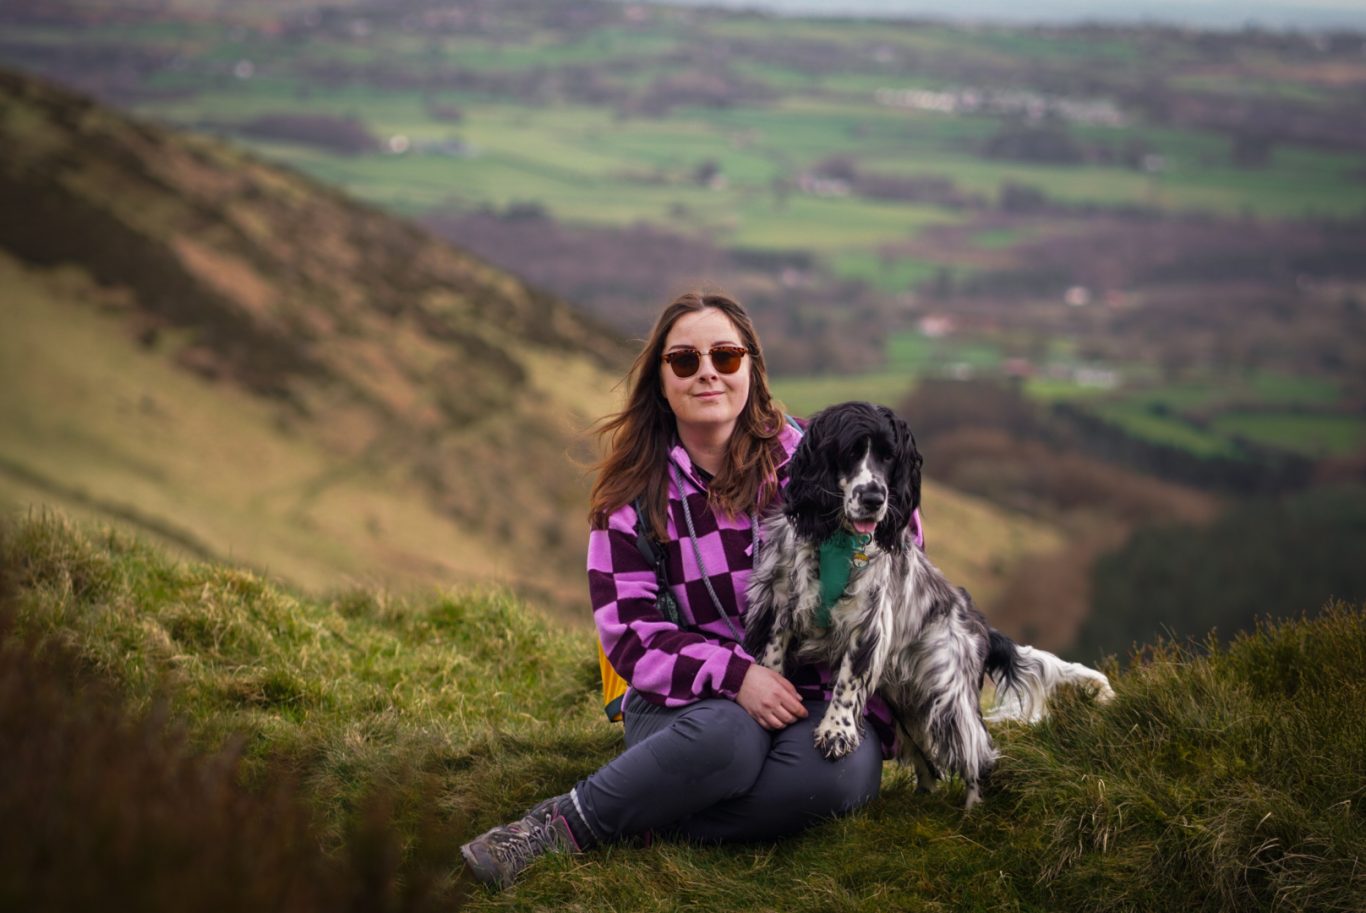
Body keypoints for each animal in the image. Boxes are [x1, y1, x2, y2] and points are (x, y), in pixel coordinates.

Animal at [745, 401, 1114, 807]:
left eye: (889, 457)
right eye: (850, 452)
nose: (874, 498)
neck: (837, 540)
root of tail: (980, 626)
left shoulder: (868, 625)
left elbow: (846, 684)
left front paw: (835, 732)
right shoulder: (783, 599)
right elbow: (773, 656)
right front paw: (770, 694)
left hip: (949, 694)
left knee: (978, 753)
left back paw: (972, 810)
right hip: (904, 701)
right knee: (927, 758)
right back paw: (922, 796)